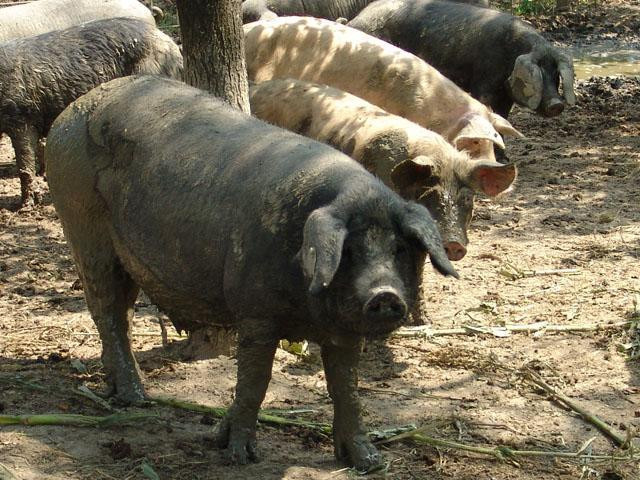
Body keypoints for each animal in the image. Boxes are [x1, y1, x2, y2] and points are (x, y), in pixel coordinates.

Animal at [45, 75, 458, 468]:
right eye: (350, 252)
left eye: (399, 249)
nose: (384, 295)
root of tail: (70, 112)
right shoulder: (254, 310)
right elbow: (256, 379)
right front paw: (238, 455)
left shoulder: (343, 329)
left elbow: (346, 387)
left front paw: (370, 462)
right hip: (82, 222)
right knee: (106, 310)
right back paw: (136, 399)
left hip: (123, 253)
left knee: (123, 313)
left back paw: (123, 389)